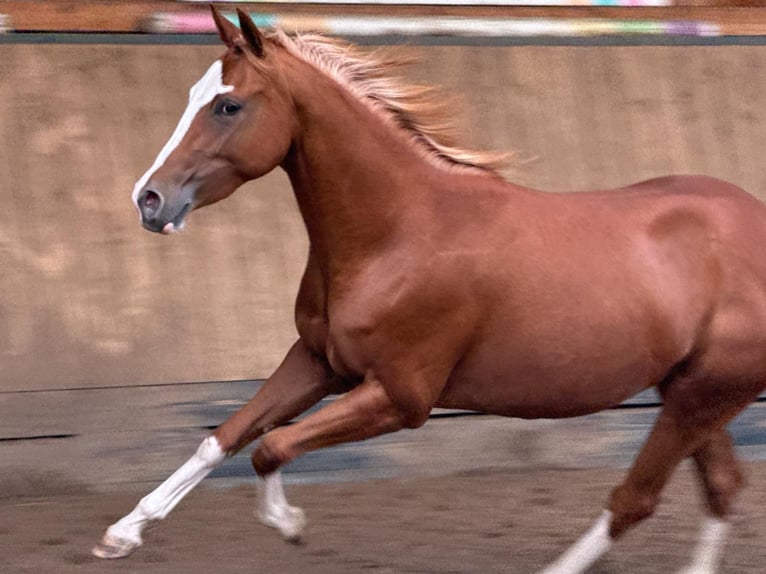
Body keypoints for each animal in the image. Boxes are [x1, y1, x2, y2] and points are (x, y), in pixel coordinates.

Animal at [93, 7, 766, 573]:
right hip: (689, 390)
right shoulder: (317, 362)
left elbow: (271, 447)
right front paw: (122, 534)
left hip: (702, 395)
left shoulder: (400, 398)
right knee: (720, 487)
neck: (398, 234)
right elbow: (225, 437)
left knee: (636, 499)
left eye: (228, 107)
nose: (149, 200)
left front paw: (290, 524)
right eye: (192, 95)